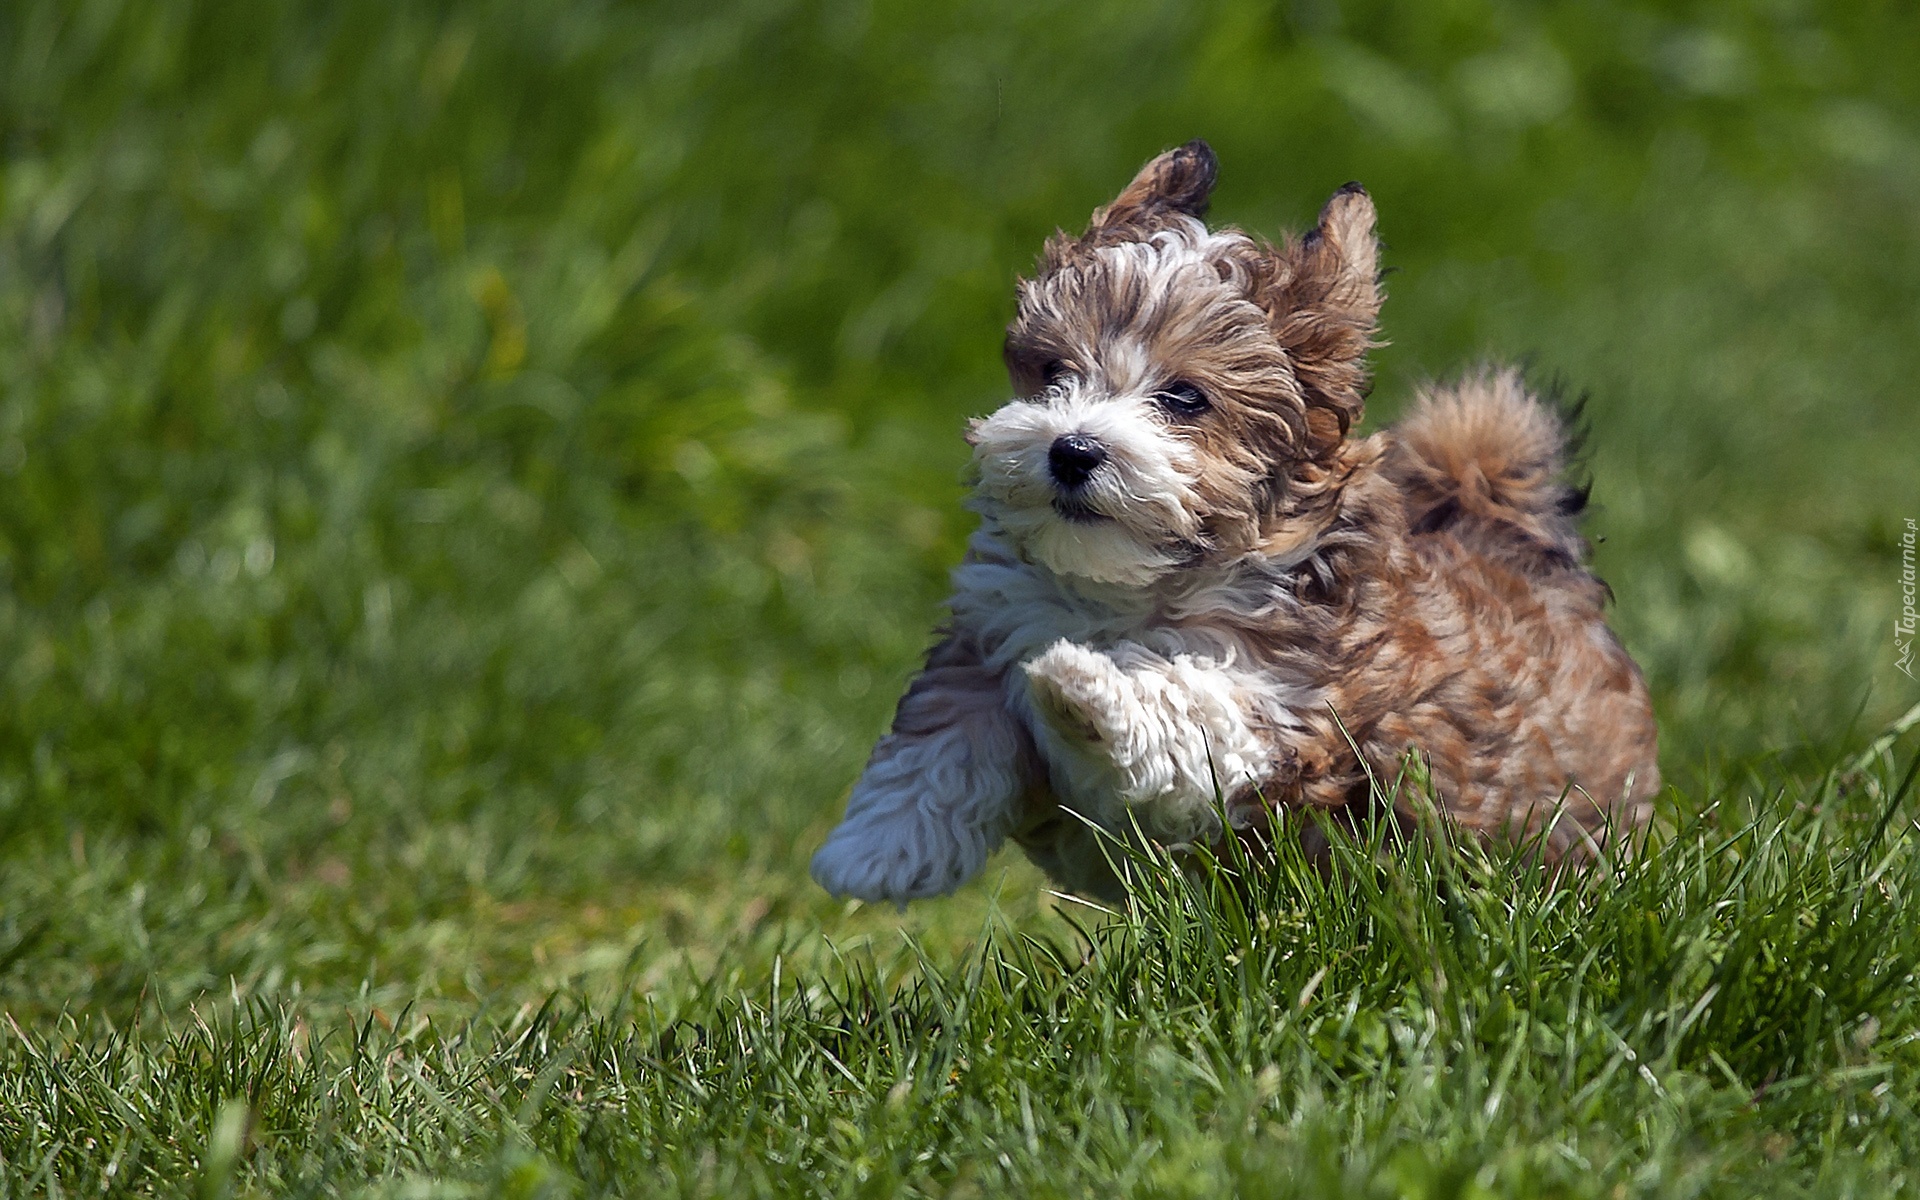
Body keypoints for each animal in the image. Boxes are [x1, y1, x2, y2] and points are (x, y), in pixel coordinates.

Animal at [802, 140, 1658, 898]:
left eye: (1184, 398)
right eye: (1053, 373)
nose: (1072, 450)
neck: (1131, 586)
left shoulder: (1280, 705)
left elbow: (1181, 698)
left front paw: (1078, 681)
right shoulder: (993, 628)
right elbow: (942, 737)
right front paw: (874, 851)